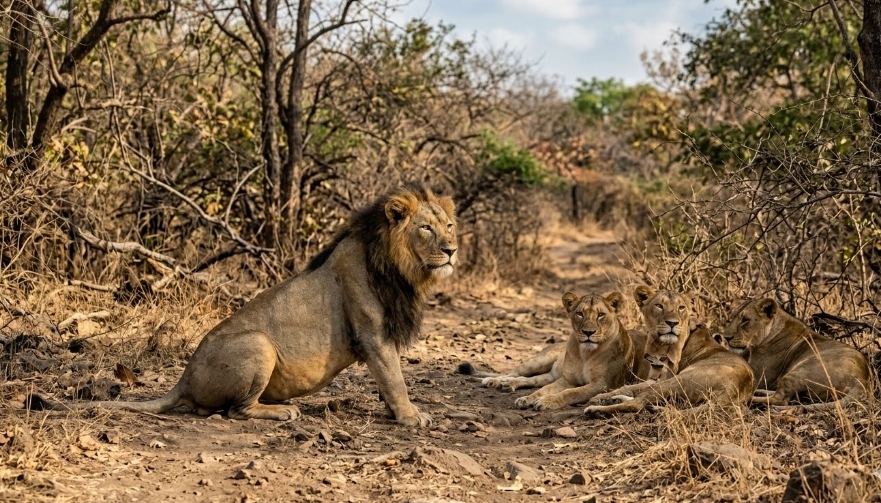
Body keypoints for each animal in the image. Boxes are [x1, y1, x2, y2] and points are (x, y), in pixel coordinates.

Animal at [26, 184, 458, 427]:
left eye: (449, 226)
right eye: (426, 228)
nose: (452, 249)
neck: (401, 268)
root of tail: (184, 378)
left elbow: (387, 382)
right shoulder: (373, 334)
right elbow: (394, 378)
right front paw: (411, 418)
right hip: (259, 344)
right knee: (234, 411)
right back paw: (282, 412)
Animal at [475, 291, 639, 411]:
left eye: (601, 315)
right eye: (580, 313)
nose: (588, 332)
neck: (585, 354)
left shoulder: (601, 385)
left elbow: (571, 393)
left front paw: (546, 402)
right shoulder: (567, 380)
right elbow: (544, 390)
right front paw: (527, 399)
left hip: (551, 374)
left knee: (531, 379)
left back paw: (507, 384)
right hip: (540, 361)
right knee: (515, 372)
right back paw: (494, 381)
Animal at [584, 325, 754, 416]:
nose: (646, 355)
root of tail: (733, 390)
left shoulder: (665, 378)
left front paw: (597, 399)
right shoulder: (658, 378)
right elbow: (629, 386)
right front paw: (602, 396)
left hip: (678, 381)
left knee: (638, 403)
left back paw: (595, 410)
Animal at [720, 297, 870, 411]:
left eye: (745, 320)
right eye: (732, 317)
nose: (725, 337)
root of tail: (861, 378)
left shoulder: (759, 376)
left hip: (801, 370)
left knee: (779, 399)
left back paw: (749, 399)